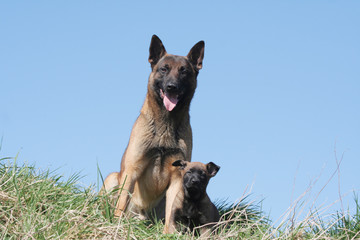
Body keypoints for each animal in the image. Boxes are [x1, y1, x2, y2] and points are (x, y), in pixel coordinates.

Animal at [102, 34, 205, 222]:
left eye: (184, 71)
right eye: (164, 69)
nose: (172, 87)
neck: (165, 125)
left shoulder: (177, 178)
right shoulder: (131, 171)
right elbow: (121, 203)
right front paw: (116, 224)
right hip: (112, 178)